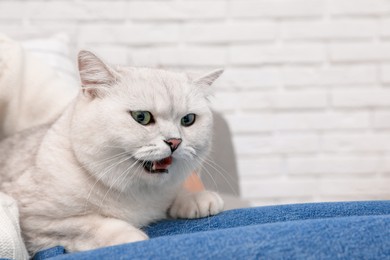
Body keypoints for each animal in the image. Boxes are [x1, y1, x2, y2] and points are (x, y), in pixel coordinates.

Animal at [0, 50, 224, 254]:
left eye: (188, 120)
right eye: (141, 117)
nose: (175, 142)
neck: (137, 191)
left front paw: (196, 198)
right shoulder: (36, 219)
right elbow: (90, 224)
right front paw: (130, 235)